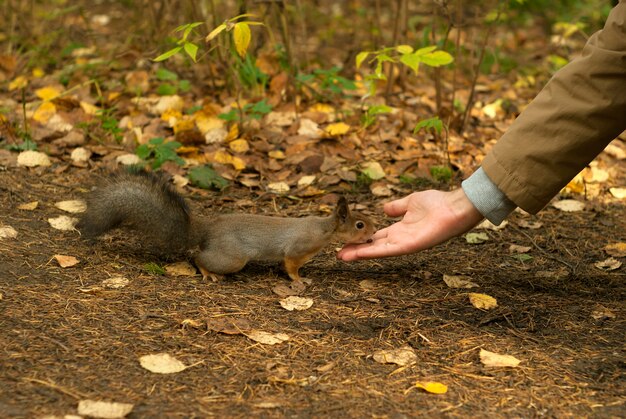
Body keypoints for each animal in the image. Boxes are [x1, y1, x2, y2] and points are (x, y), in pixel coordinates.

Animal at [75, 170, 372, 282]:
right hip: (232, 258)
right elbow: (290, 265)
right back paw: (208, 273)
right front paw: (300, 280)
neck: (324, 230)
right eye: (360, 224)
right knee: (199, 257)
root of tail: (207, 229)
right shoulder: (298, 248)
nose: (372, 236)